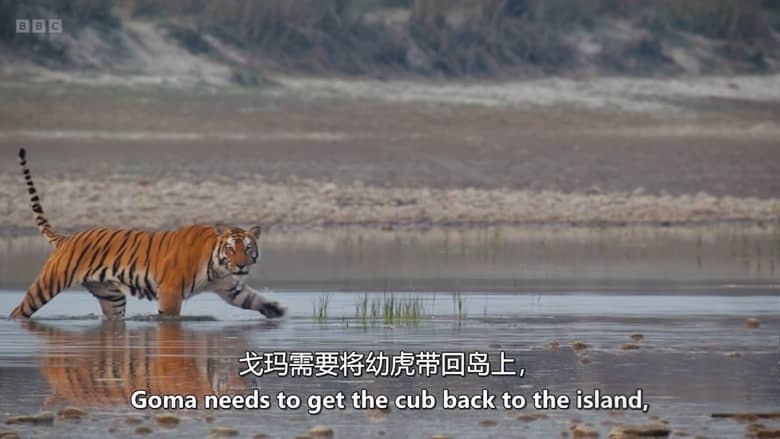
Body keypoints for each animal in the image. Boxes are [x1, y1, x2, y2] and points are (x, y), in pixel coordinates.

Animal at [9, 148, 285, 319]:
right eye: (231, 248)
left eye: (248, 248)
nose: (241, 265)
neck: (219, 267)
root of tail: (67, 238)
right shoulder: (171, 292)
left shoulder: (231, 288)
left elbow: (253, 300)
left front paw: (277, 311)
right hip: (47, 284)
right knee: (20, 310)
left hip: (111, 297)